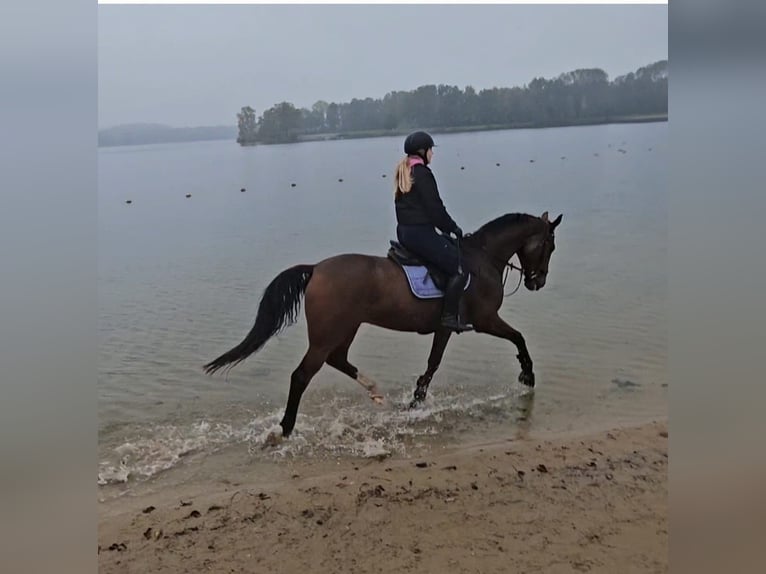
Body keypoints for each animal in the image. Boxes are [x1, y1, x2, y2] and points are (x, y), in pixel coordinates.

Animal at [203, 211, 563, 438]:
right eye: (550, 245)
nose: (538, 281)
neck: (482, 259)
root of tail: (317, 268)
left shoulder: (446, 328)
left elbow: (433, 363)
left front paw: (415, 402)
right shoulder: (485, 319)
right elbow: (518, 338)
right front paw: (527, 375)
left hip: (346, 328)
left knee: (338, 359)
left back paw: (376, 392)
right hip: (326, 335)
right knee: (302, 375)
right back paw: (286, 428)